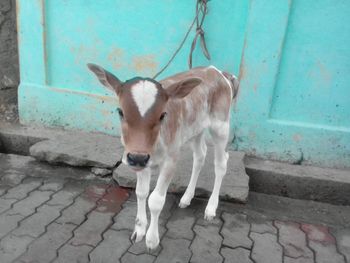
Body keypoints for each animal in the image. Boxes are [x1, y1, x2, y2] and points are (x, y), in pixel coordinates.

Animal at [89, 63, 239, 250]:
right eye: (120, 112)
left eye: (162, 115)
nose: (137, 158)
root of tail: (218, 71)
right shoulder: (142, 161)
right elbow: (141, 192)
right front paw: (139, 230)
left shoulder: (170, 159)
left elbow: (155, 200)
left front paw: (152, 240)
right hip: (196, 128)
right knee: (200, 156)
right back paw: (186, 198)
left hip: (221, 126)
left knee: (221, 163)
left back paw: (211, 208)